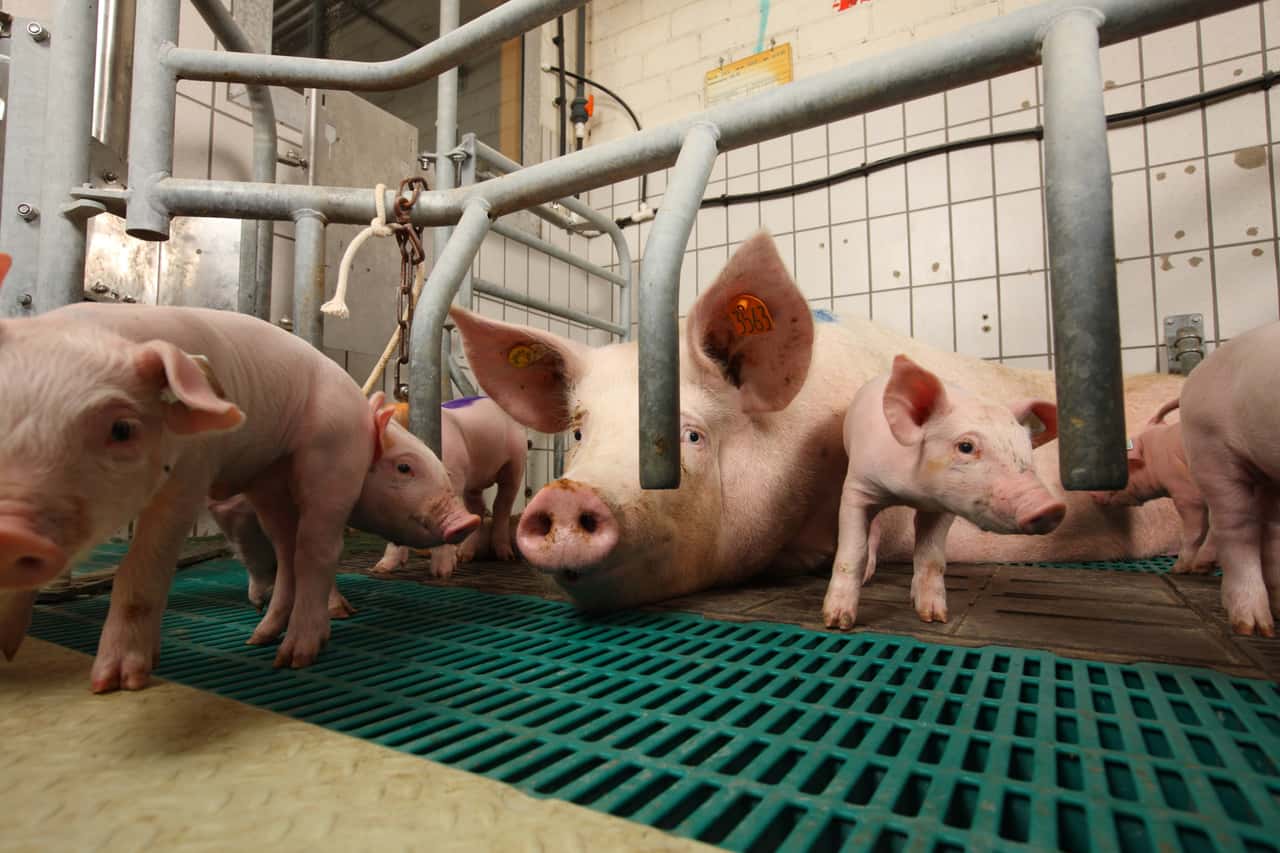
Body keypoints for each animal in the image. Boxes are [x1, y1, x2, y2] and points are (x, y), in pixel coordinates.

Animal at [0, 303, 478, 691]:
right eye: (405, 468)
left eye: (121, 427)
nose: (466, 521)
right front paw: (17, 655)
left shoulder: (193, 469)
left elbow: (144, 566)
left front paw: (115, 682)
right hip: (301, 471)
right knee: (300, 550)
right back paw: (270, 640)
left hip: (304, 467)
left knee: (308, 550)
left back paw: (287, 652)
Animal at [372, 397, 526, 578]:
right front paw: (380, 569)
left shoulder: (454, 478)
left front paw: (442, 574)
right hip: (472, 481)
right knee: (477, 509)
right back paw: (464, 557)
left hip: (516, 462)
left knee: (502, 505)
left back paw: (506, 557)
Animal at [823, 355, 1063, 628]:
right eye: (966, 446)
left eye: (1027, 449)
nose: (1052, 507)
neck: (911, 493)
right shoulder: (857, 486)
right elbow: (853, 551)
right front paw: (837, 622)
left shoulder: (943, 507)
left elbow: (931, 556)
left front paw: (934, 617)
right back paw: (867, 576)